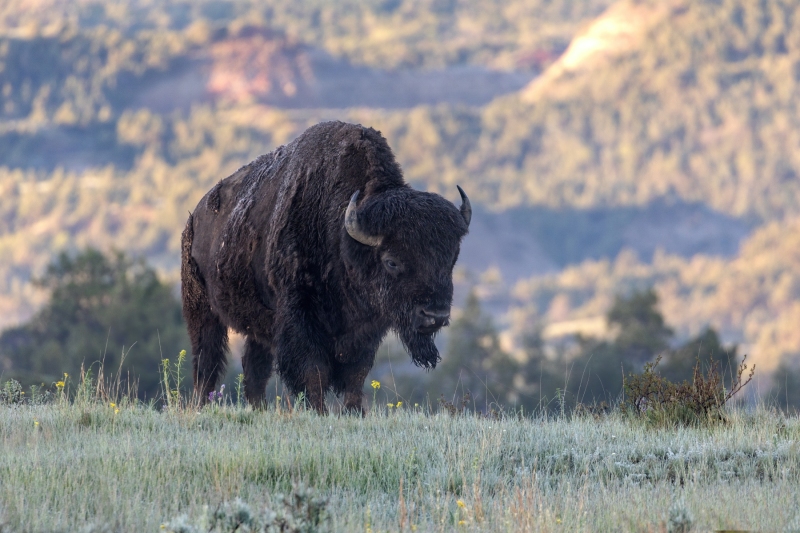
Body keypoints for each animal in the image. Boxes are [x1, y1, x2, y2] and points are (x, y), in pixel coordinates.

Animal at [181, 121, 470, 413]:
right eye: (392, 261)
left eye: (451, 258)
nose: (435, 315)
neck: (340, 233)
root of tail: (196, 217)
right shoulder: (300, 316)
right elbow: (314, 369)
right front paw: (319, 411)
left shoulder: (367, 328)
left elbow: (357, 372)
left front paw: (354, 411)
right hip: (202, 310)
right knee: (206, 361)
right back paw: (200, 405)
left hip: (258, 321)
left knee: (254, 368)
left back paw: (259, 408)